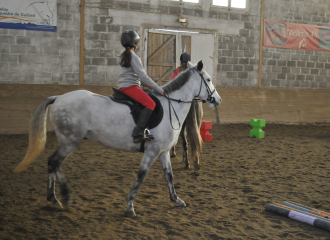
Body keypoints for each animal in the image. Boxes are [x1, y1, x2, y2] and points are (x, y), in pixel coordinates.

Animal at [14, 60, 222, 218]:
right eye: (208, 79)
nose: (218, 100)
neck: (172, 105)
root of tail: (58, 98)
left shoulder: (162, 152)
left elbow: (169, 176)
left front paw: (176, 199)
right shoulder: (152, 150)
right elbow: (141, 175)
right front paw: (130, 206)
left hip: (68, 141)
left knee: (52, 163)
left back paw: (54, 199)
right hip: (70, 141)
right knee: (55, 162)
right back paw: (64, 197)